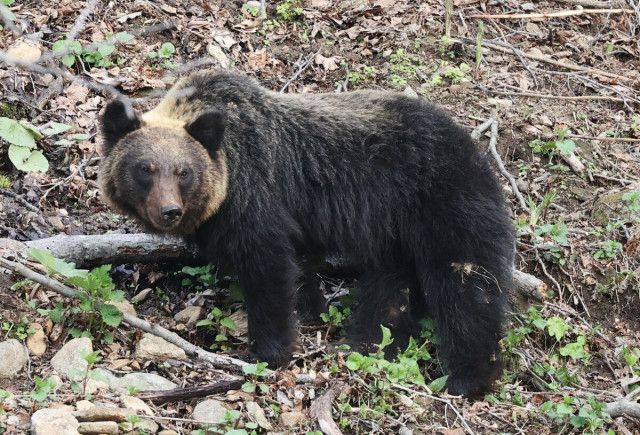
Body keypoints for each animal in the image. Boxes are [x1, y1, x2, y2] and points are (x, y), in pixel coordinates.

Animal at [99, 70, 516, 398]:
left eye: (183, 171)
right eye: (145, 168)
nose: (169, 211)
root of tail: (477, 149)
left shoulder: (257, 199)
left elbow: (270, 269)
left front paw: (269, 350)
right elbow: (303, 272)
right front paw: (312, 311)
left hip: (444, 208)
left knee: (465, 288)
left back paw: (467, 376)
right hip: (396, 235)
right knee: (391, 290)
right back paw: (371, 341)